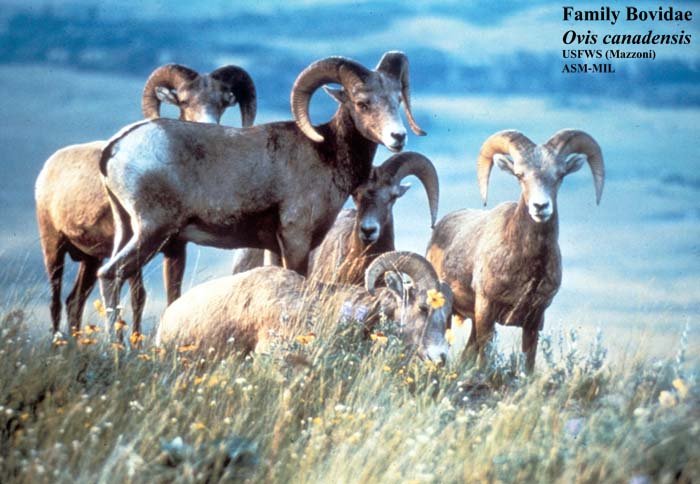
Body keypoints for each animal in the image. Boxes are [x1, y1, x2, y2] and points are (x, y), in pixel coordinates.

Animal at [35, 63, 257, 335]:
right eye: (184, 101)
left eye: (223, 102)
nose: (209, 127)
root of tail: (48, 167)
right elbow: (138, 297)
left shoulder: (175, 250)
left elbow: (173, 295)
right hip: (53, 248)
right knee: (56, 302)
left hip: (90, 260)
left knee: (74, 301)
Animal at [426, 129, 605, 371]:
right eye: (520, 175)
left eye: (560, 175)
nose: (540, 207)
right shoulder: (486, 310)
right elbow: (484, 359)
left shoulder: (535, 319)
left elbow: (528, 363)